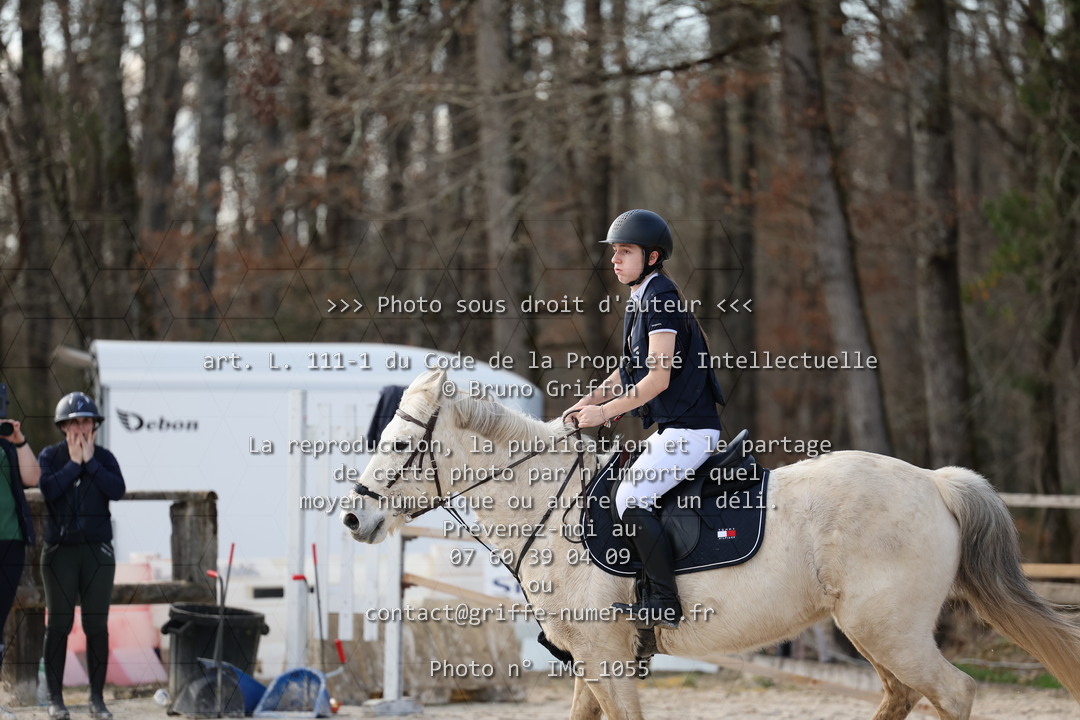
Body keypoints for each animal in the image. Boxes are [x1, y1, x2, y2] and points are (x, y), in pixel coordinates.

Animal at [341, 369, 1080, 720]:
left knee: (952, 694)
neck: (550, 507)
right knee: (902, 696)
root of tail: (932, 481)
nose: (353, 519)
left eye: (400, 445)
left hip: (888, 629)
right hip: (877, 632)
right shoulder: (591, 661)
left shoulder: (607, 657)